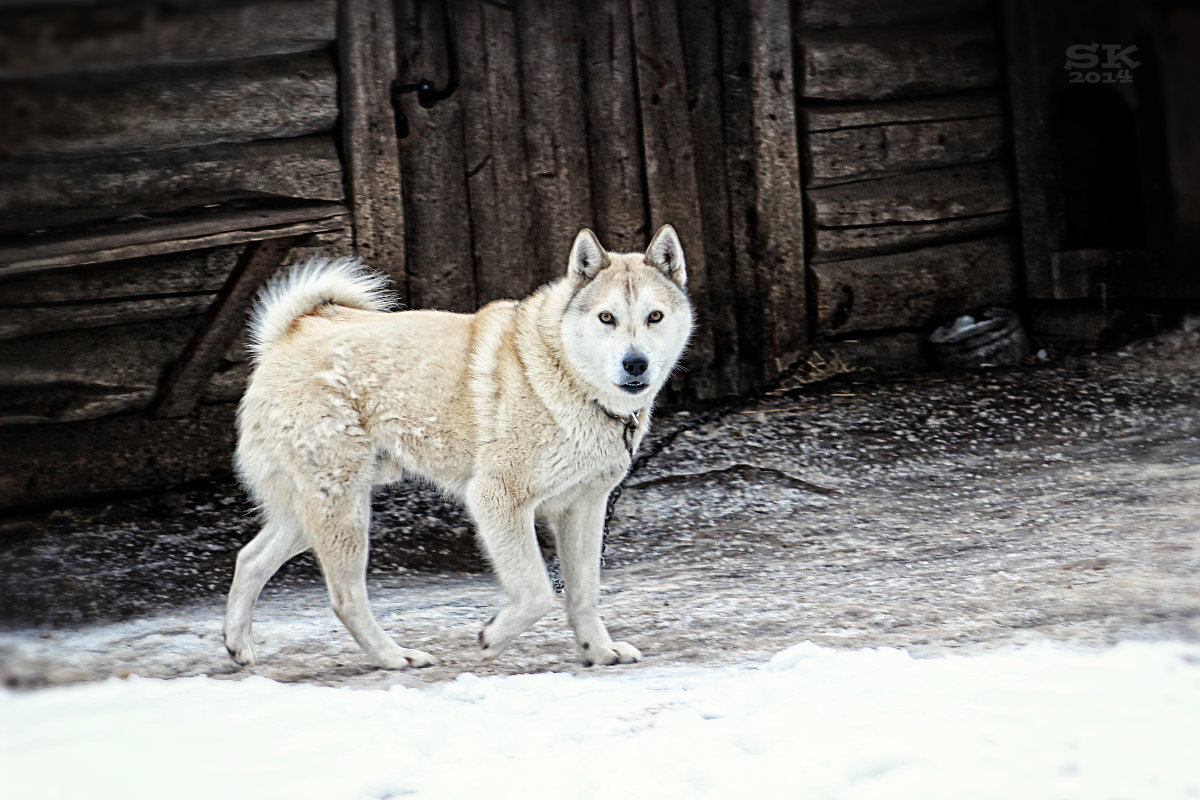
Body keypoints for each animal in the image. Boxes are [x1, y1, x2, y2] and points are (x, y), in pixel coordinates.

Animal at [225, 225, 696, 671]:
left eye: (654, 316)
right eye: (606, 317)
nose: (635, 364)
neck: (565, 372)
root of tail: (290, 332)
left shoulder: (584, 508)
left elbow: (584, 594)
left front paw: (598, 650)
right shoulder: (497, 499)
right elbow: (538, 592)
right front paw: (493, 637)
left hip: (316, 511)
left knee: (249, 559)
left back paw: (238, 645)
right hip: (342, 510)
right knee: (345, 599)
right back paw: (394, 657)